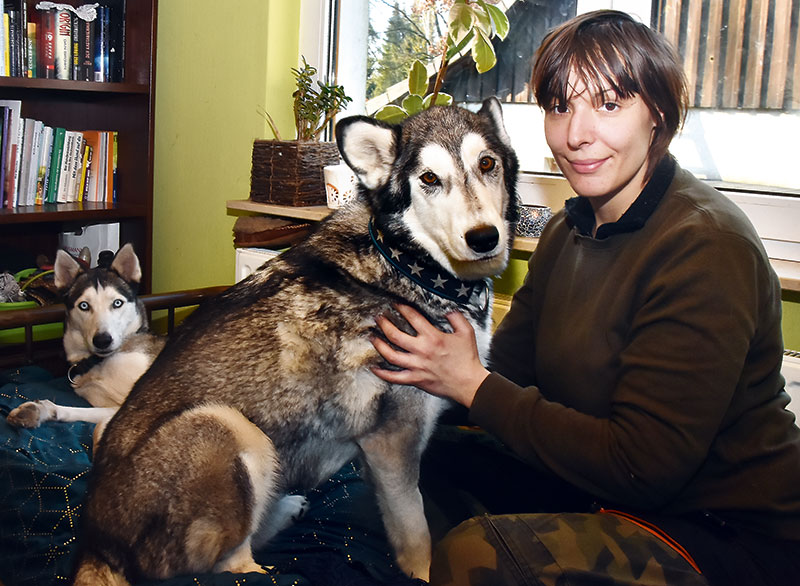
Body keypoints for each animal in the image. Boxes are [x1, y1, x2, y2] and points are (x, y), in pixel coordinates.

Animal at [72, 98, 520, 580]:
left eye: (487, 163)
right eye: (430, 179)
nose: (484, 238)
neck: (408, 265)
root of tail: (95, 543)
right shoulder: (391, 443)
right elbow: (417, 536)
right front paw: (421, 573)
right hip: (225, 423)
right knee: (228, 565)